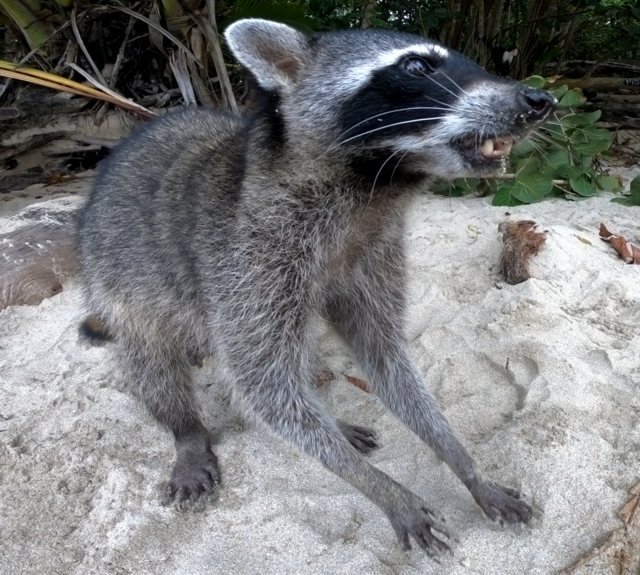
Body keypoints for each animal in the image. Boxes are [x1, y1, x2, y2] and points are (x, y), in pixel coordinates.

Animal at [75, 19, 556, 560]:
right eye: (417, 66)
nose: (540, 98)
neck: (374, 189)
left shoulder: (373, 249)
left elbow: (386, 359)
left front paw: (464, 464)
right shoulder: (248, 258)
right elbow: (267, 390)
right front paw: (383, 489)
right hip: (118, 284)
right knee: (152, 361)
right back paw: (187, 430)